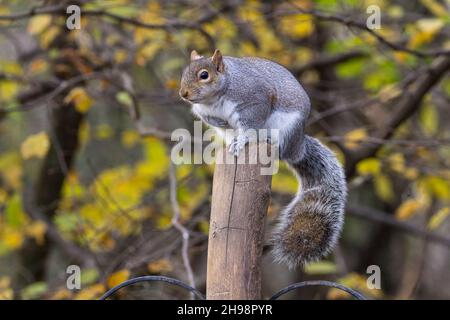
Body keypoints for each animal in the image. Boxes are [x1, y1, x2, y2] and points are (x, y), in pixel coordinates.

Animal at [178, 50, 346, 268]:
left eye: (204, 75)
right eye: (184, 73)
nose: (183, 94)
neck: (214, 98)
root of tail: (298, 148)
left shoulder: (255, 100)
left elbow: (250, 124)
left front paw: (243, 139)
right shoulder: (203, 113)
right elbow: (215, 120)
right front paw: (223, 123)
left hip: (286, 130)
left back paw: (261, 139)